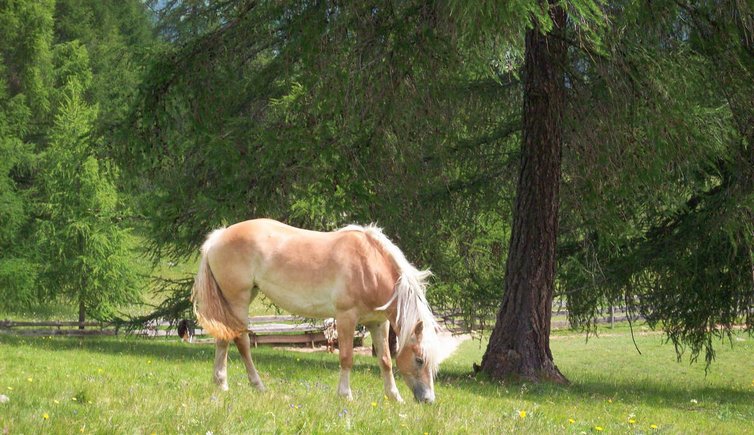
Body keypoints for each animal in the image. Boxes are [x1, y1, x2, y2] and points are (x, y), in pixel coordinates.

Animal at [191, 220, 440, 404]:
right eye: (419, 360)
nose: (428, 400)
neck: (369, 266)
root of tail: (218, 236)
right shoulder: (346, 317)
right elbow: (346, 357)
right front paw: (345, 395)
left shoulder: (378, 323)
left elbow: (386, 360)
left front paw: (394, 397)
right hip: (238, 300)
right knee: (241, 341)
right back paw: (258, 385)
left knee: (223, 338)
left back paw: (221, 384)